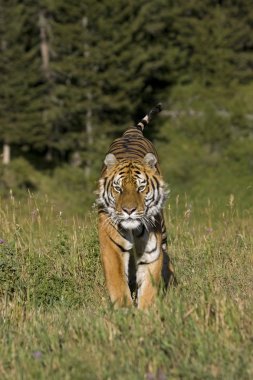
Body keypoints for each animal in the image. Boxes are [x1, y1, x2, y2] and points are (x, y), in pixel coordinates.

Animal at [97, 103, 176, 308]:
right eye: (118, 188)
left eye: (141, 187)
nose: (129, 210)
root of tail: (131, 132)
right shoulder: (111, 241)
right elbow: (117, 277)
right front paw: (123, 307)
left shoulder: (152, 247)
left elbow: (149, 281)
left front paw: (146, 310)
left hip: (163, 231)